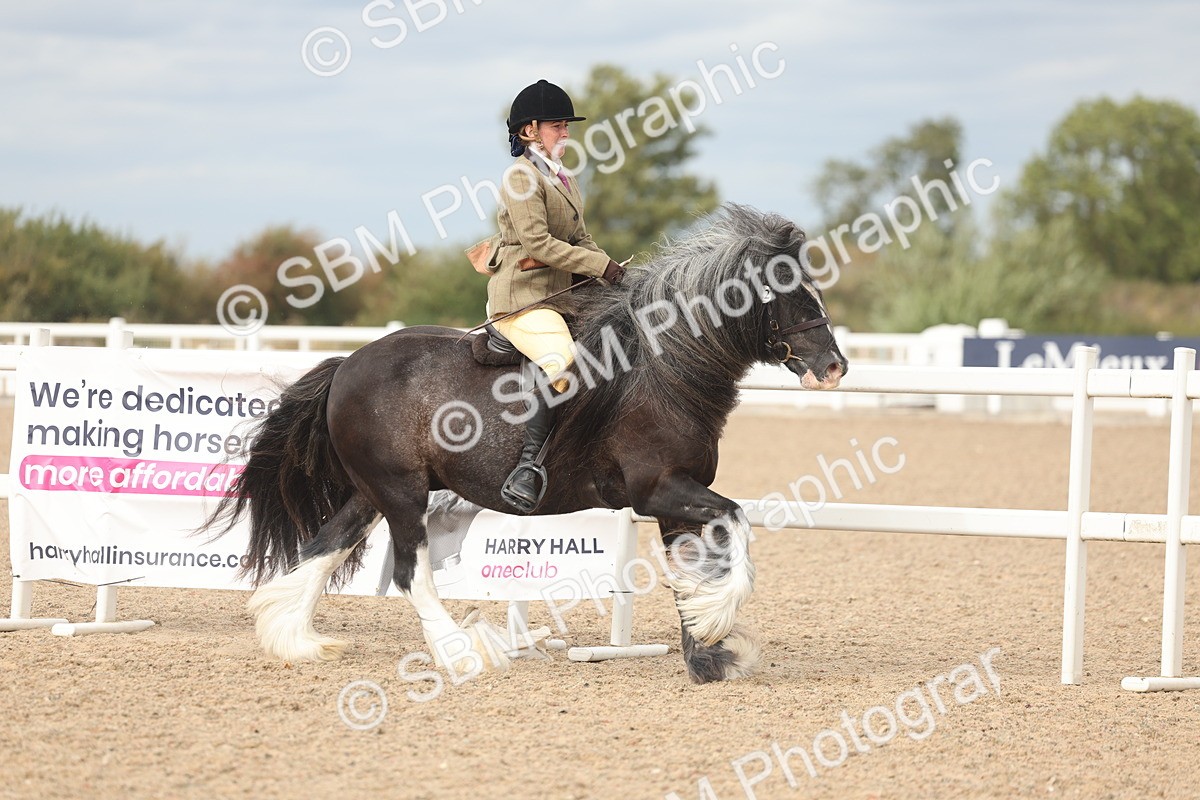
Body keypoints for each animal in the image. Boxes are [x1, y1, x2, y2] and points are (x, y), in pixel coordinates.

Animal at [202, 203, 848, 684]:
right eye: (791, 292)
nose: (835, 367)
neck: (663, 371)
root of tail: (346, 365)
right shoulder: (658, 490)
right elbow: (736, 525)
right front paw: (717, 629)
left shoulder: (678, 496)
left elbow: (696, 564)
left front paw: (709, 652)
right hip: (401, 494)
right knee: (411, 573)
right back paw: (462, 654)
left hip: (373, 491)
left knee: (324, 547)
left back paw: (294, 639)